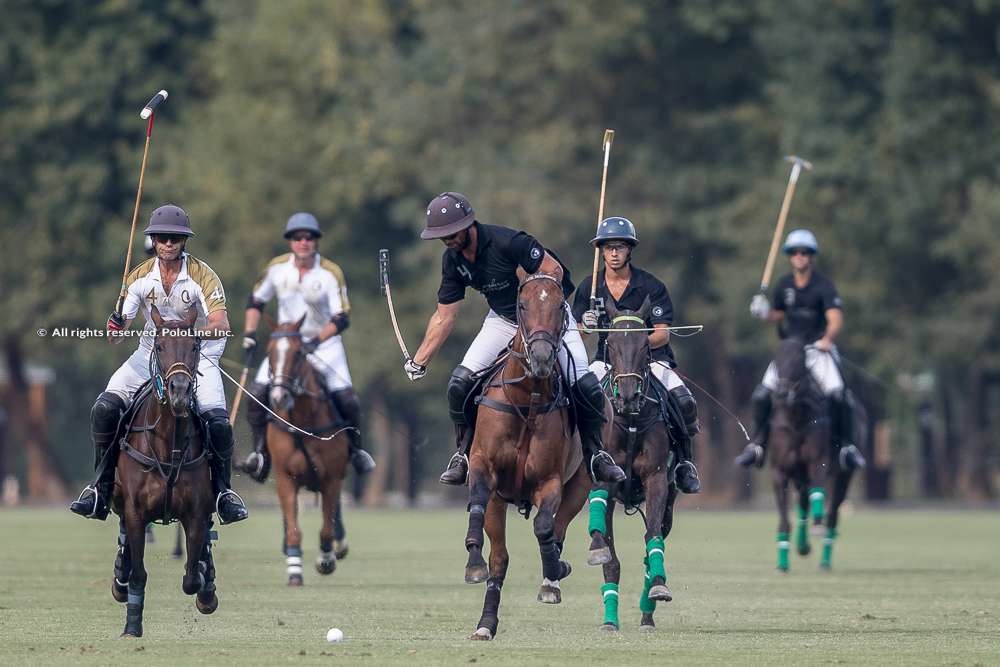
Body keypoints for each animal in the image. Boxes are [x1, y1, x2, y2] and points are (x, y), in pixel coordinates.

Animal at [110, 306, 218, 636]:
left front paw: (206, 589)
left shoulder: (196, 513)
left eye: (195, 346)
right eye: (159, 346)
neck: (167, 443)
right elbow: (138, 573)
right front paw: (132, 626)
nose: (180, 392)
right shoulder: (135, 512)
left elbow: (192, 578)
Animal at [264, 318, 350, 584]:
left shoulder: (331, 478)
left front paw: (326, 560)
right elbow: (293, 529)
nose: (279, 396)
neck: (303, 423)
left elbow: (326, 529)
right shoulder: (285, 478)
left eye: (299, 353)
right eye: (269, 352)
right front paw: (294, 570)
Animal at [462, 272, 592, 640]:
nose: (544, 357)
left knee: (558, 529)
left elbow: (545, 526)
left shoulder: (549, 482)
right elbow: (493, 550)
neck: (526, 400)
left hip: (580, 485)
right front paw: (474, 564)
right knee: (503, 555)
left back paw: (554, 574)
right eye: (521, 304)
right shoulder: (486, 472)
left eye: (560, 305)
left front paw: (553, 574)